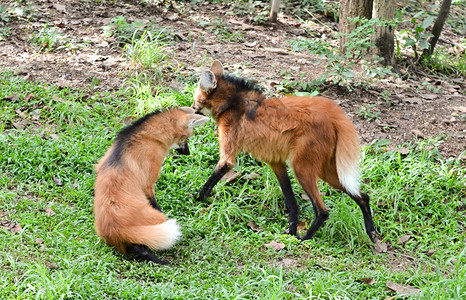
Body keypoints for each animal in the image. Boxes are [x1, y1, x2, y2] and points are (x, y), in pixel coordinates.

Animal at [93, 106, 208, 264]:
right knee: (143, 243)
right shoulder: (148, 183)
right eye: (186, 138)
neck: (148, 136)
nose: (187, 153)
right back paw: (162, 261)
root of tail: (114, 228)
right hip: (157, 220)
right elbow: (154, 201)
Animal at [192, 60, 378, 244]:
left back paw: (305, 239)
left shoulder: (229, 155)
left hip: (301, 167)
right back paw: (372, 233)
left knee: (323, 211)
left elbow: (218, 172)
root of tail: (334, 116)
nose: (192, 107)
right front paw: (290, 232)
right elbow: (291, 202)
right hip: (327, 171)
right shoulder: (277, 163)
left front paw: (197, 198)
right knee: (363, 196)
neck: (232, 103)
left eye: (195, 99)